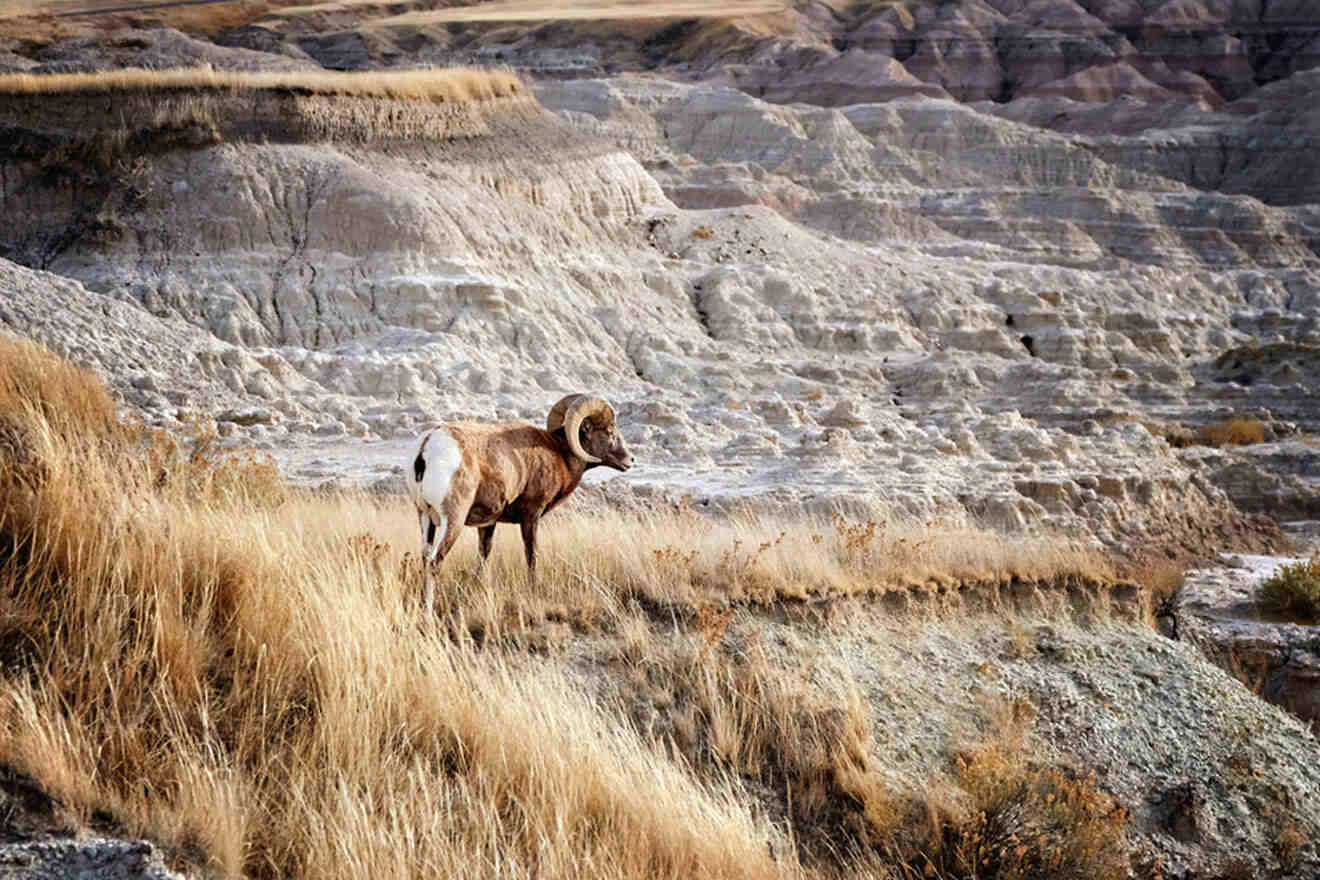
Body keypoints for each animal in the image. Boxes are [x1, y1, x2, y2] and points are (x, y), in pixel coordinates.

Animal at [406, 395, 633, 617]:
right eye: (609, 431)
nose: (630, 460)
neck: (558, 453)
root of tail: (426, 447)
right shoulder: (531, 515)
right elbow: (532, 553)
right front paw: (534, 589)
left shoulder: (488, 523)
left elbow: (483, 556)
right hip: (453, 520)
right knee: (435, 562)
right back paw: (428, 614)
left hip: (425, 517)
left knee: (425, 558)